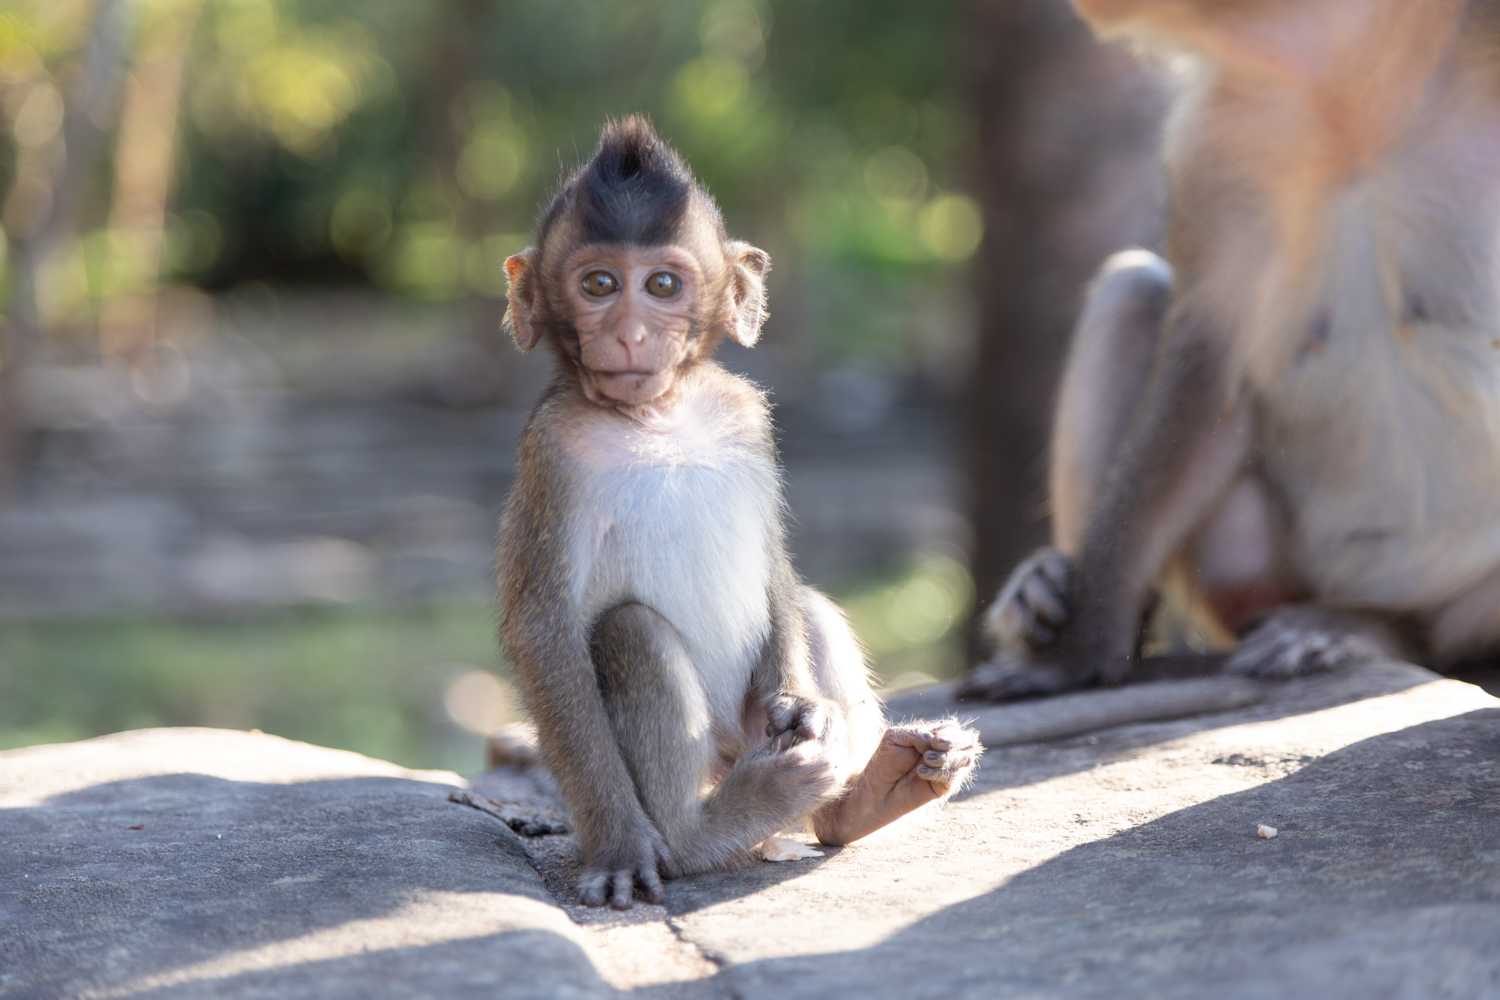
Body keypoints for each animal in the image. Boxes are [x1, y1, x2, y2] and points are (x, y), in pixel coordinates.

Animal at [497, 117, 979, 908]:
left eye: (662, 285)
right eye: (599, 285)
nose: (630, 333)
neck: (658, 417)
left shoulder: (747, 417)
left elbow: (773, 559)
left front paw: (804, 705)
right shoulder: (551, 453)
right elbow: (544, 628)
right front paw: (621, 845)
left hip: (752, 727)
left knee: (808, 608)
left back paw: (864, 797)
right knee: (631, 632)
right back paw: (707, 832)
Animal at [961, 0, 1500, 701]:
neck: (1357, 99)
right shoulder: (1214, 143)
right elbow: (1206, 381)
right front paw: (1074, 655)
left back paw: (1368, 629)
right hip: (1249, 578)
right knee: (1130, 294)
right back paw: (1052, 594)